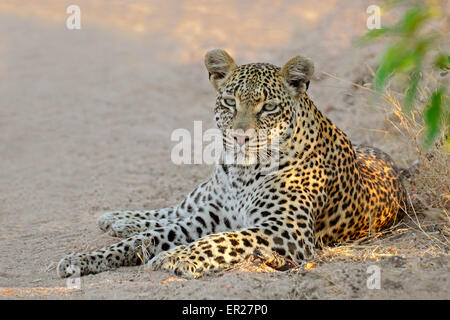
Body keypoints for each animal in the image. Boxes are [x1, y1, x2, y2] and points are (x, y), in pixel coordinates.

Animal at [56, 48, 408, 278]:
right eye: (229, 102)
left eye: (268, 107)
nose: (240, 137)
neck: (243, 173)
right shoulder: (208, 217)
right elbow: (147, 238)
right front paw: (80, 259)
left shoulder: (283, 229)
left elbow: (223, 239)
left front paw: (176, 258)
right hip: (202, 200)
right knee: (171, 210)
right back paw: (116, 219)